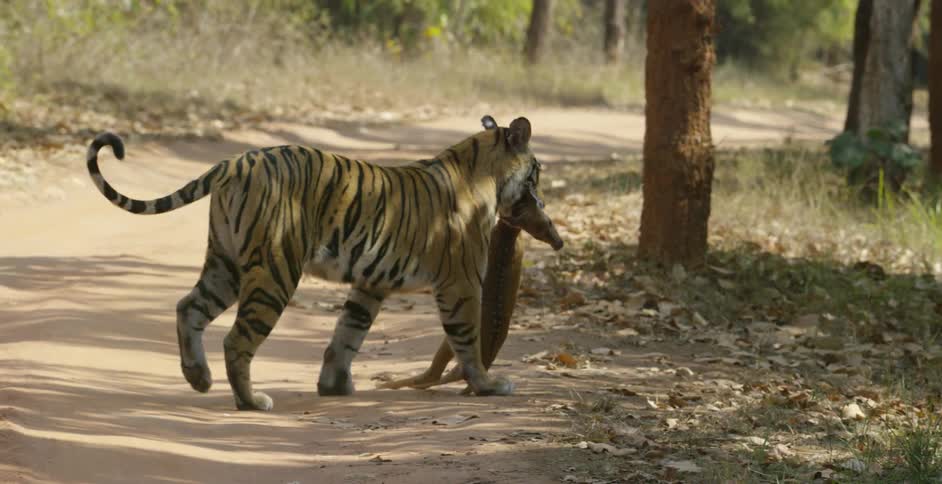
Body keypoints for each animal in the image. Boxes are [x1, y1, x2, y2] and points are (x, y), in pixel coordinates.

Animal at [86, 116, 549, 411]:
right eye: (536, 171)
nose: (542, 203)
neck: (482, 169)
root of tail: (235, 161)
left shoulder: (371, 283)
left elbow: (348, 332)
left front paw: (335, 386)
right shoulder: (462, 282)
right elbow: (468, 339)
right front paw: (488, 385)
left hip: (226, 262)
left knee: (189, 307)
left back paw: (198, 377)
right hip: (274, 269)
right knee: (236, 339)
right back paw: (250, 401)